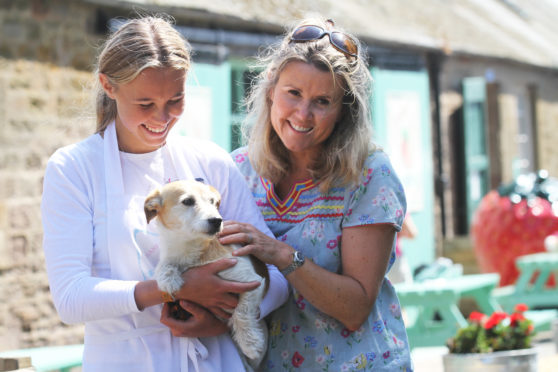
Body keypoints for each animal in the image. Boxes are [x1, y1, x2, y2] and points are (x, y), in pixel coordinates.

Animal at [143, 179, 268, 368]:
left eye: (212, 201)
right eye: (188, 201)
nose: (217, 220)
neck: (193, 249)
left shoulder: (253, 282)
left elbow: (242, 312)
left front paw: (249, 343)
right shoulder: (172, 255)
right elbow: (164, 264)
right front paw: (167, 278)